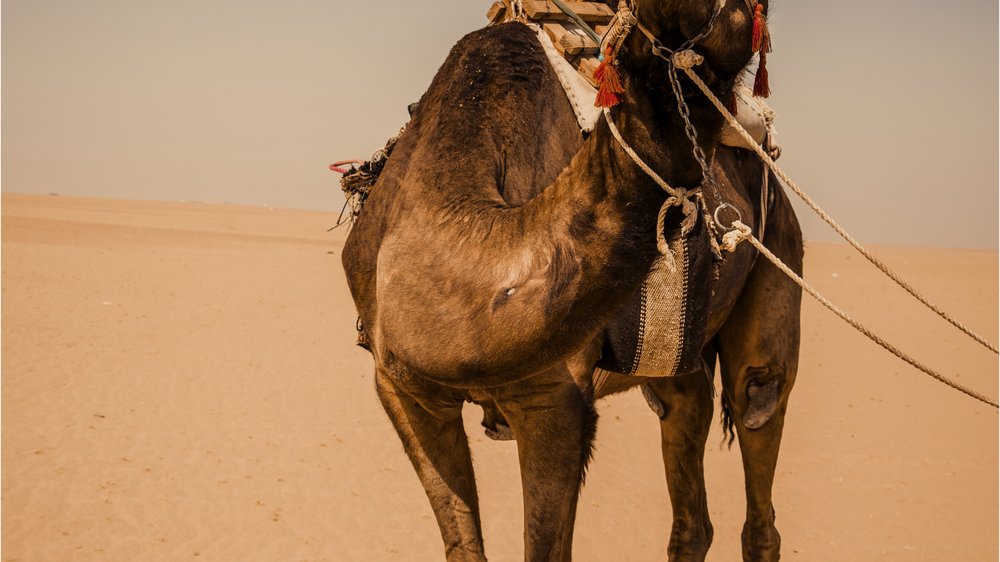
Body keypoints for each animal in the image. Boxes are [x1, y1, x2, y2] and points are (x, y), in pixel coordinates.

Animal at [340, 2, 800, 556]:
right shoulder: (403, 391)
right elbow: (465, 545)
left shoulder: (554, 397)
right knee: (685, 425)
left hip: (779, 247)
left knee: (759, 394)